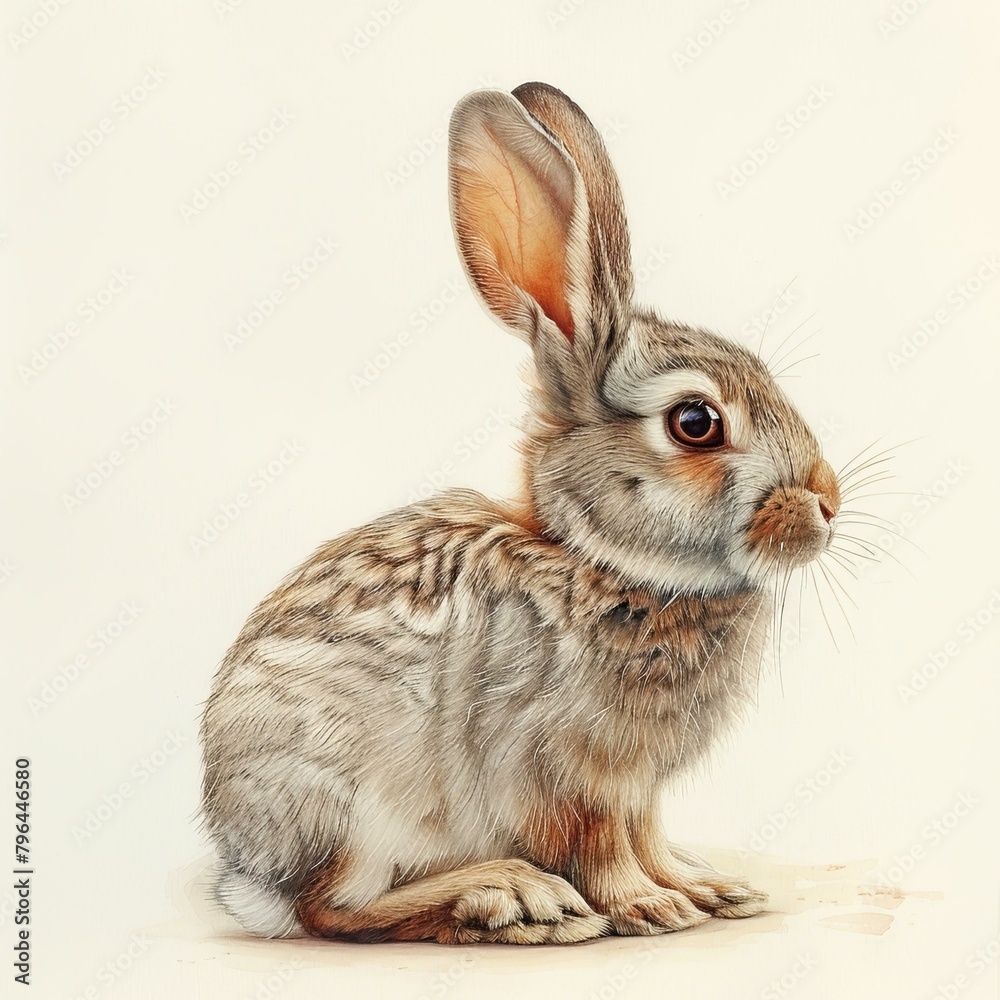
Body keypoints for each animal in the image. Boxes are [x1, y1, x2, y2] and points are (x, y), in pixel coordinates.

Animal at [199, 81, 842, 945]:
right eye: (696, 422)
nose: (828, 502)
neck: (604, 564)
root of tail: (246, 869)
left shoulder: (637, 787)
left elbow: (648, 835)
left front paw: (706, 889)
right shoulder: (561, 770)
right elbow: (603, 848)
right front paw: (649, 906)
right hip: (356, 798)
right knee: (333, 909)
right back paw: (512, 897)